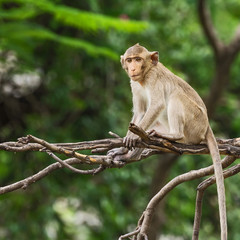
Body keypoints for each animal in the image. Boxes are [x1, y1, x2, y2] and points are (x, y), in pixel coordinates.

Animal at [108, 43, 228, 240]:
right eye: (129, 60)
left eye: (138, 59)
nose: (132, 68)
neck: (144, 76)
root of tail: (207, 126)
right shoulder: (134, 84)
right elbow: (140, 112)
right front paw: (124, 149)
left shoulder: (154, 79)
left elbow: (156, 105)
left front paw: (131, 139)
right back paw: (132, 154)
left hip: (195, 123)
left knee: (175, 96)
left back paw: (174, 136)